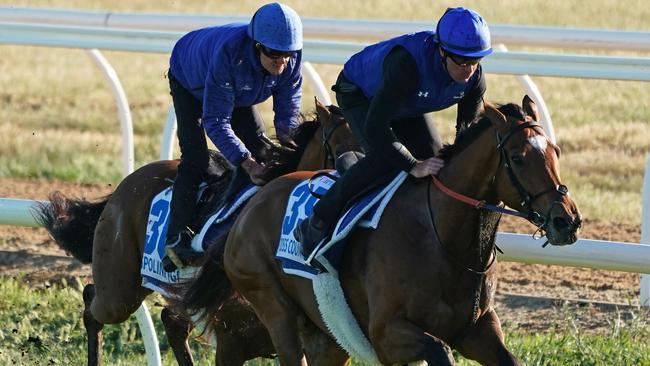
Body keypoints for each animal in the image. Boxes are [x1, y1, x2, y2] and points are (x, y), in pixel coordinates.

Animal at [34, 98, 360, 364]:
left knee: (171, 320)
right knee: (93, 303)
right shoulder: (232, 344)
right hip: (119, 289)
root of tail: (126, 185)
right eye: (340, 152)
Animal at [185, 96, 580, 364]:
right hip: (273, 307)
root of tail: (252, 204)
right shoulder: (386, 333)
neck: (442, 239)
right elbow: (438, 351)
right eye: (518, 158)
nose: (567, 220)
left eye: (556, 150)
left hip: (326, 334)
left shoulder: (477, 328)